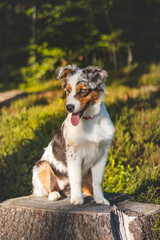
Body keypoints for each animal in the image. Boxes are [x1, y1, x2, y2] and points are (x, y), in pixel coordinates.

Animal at [31, 64, 114, 205]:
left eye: (83, 90)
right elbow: (76, 178)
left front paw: (100, 199)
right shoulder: (74, 155)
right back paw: (54, 194)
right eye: (68, 90)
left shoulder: (102, 154)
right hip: (41, 166)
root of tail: (64, 188)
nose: (69, 107)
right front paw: (77, 199)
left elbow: (97, 181)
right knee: (48, 188)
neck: (90, 119)